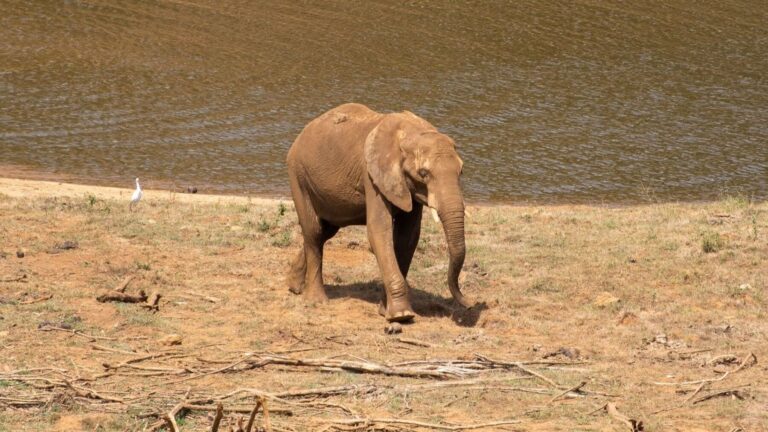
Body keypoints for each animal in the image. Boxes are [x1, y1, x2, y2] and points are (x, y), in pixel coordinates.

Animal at [285, 103, 473, 322]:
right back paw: (316, 300)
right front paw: (401, 316)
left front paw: (386, 310)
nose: (469, 304)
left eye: (461, 172)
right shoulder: (372, 176)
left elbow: (407, 237)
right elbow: (379, 231)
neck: (412, 132)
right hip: (298, 175)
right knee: (314, 232)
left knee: (325, 231)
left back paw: (294, 286)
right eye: (423, 174)